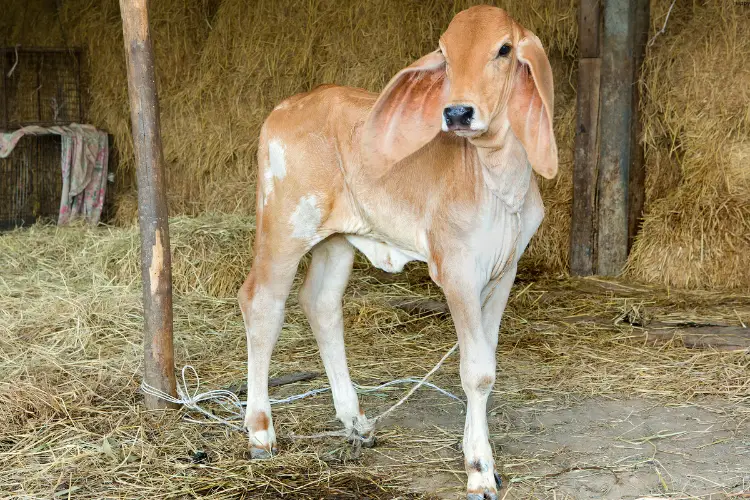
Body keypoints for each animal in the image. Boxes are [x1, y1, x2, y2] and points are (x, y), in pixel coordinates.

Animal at [239, 5, 560, 498]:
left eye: (504, 49)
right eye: (445, 52)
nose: (457, 112)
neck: (497, 179)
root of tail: (284, 107)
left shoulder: (504, 271)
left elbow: (487, 361)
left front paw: (480, 457)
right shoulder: (456, 270)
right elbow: (475, 371)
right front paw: (479, 469)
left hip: (336, 239)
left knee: (320, 303)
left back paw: (355, 421)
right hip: (284, 226)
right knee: (262, 304)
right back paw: (260, 431)